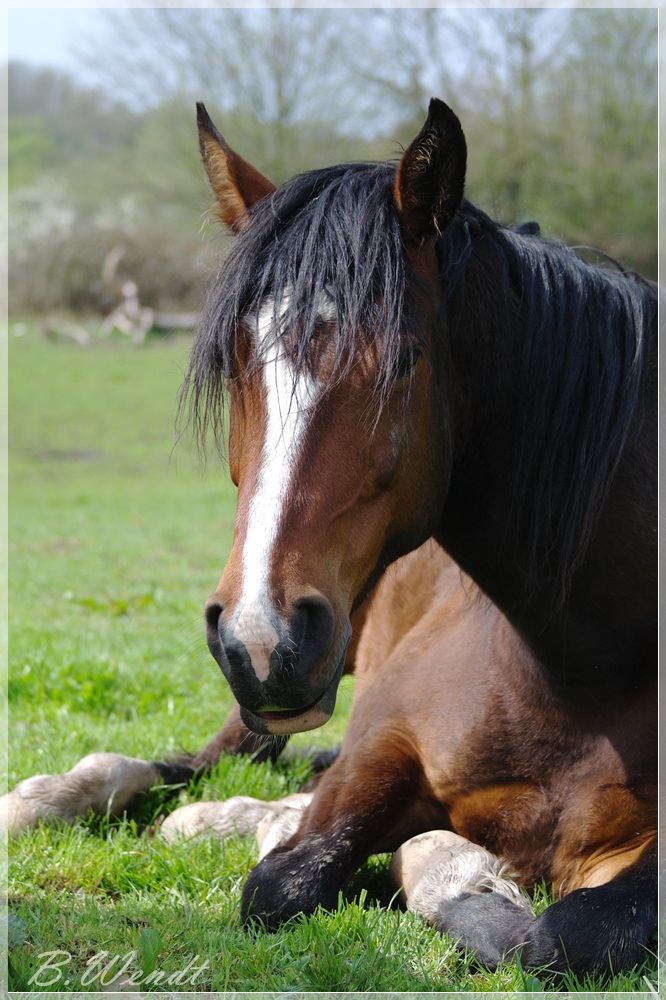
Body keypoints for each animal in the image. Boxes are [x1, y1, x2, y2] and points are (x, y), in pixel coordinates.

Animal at [179, 99, 656, 976]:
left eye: (403, 361)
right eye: (233, 364)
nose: (261, 638)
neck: (580, 667)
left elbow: (565, 934)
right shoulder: (381, 744)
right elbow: (280, 882)